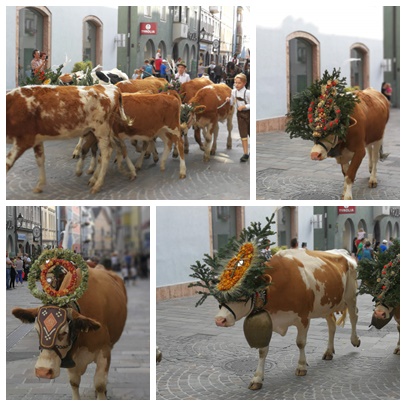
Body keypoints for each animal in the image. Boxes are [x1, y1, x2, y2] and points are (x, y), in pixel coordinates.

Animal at [11, 266, 127, 400]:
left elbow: (100, 384)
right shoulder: (71, 358)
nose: (43, 371)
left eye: (64, 332)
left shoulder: (104, 351)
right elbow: (74, 382)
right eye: (36, 330)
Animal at [214, 247, 360, 390]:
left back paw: (355, 340)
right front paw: (257, 378)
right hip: (326, 305)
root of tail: (343, 252)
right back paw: (329, 351)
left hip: (351, 296)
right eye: (219, 295)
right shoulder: (269, 321)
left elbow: (300, 342)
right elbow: (262, 350)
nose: (220, 320)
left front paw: (301, 366)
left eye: (241, 293)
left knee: (354, 317)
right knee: (332, 325)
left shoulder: (303, 318)